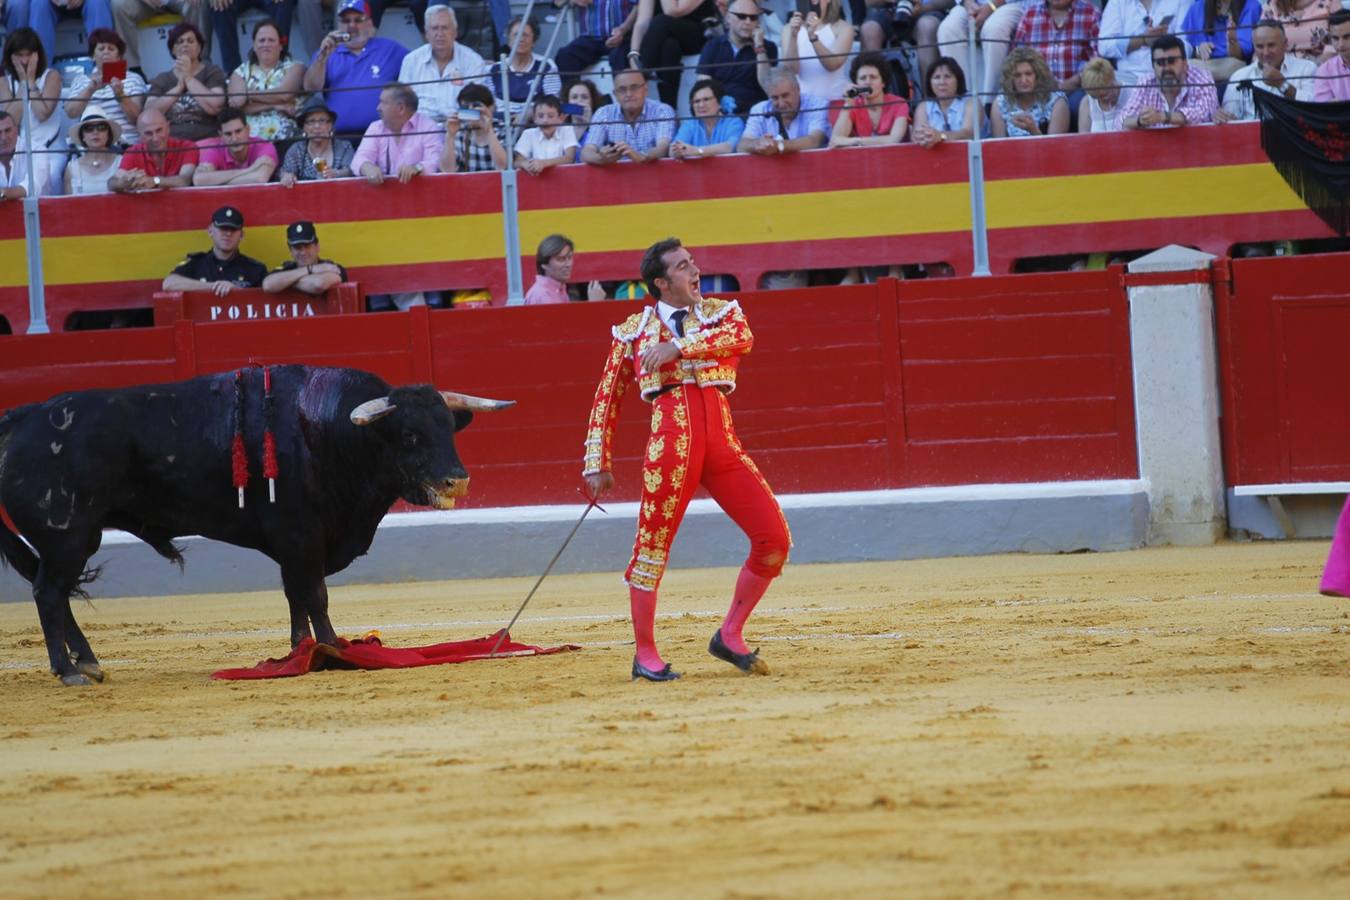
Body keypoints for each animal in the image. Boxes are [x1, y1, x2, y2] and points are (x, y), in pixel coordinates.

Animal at [0, 364, 515, 682]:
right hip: (68, 535)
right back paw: (69, 670)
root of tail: (21, 418)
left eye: (448, 429)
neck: (324, 431)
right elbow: (314, 595)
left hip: (70, 540)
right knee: (48, 593)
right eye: (408, 435)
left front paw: (300, 650)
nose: (457, 481)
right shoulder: (301, 535)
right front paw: (333, 649)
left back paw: (87, 664)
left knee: (57, 593)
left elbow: (295, 596)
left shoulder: (294, 545)